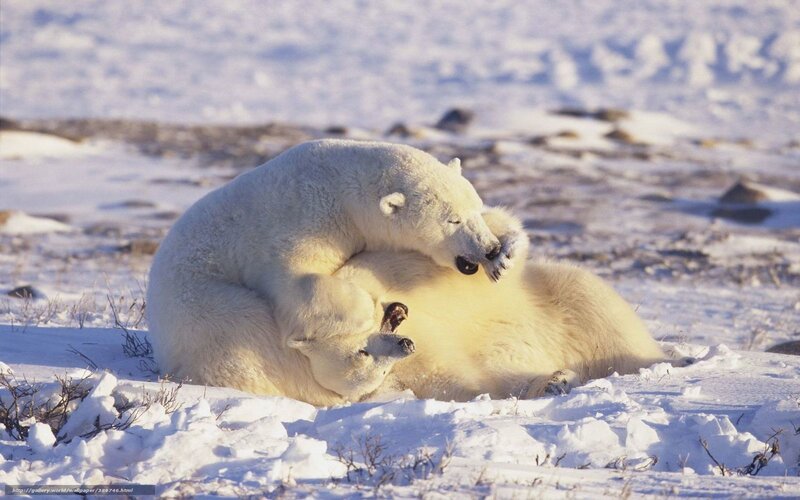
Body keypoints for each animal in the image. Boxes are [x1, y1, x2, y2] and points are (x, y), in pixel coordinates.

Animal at [146, 139, 526, 404]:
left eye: (475, 208)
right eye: (453, 220)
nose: (488, 249)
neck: (341, 187)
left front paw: (505, 255)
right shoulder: (301, 224)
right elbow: (299, 284)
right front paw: (364, 316)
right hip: (207, 309)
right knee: (253, 335)